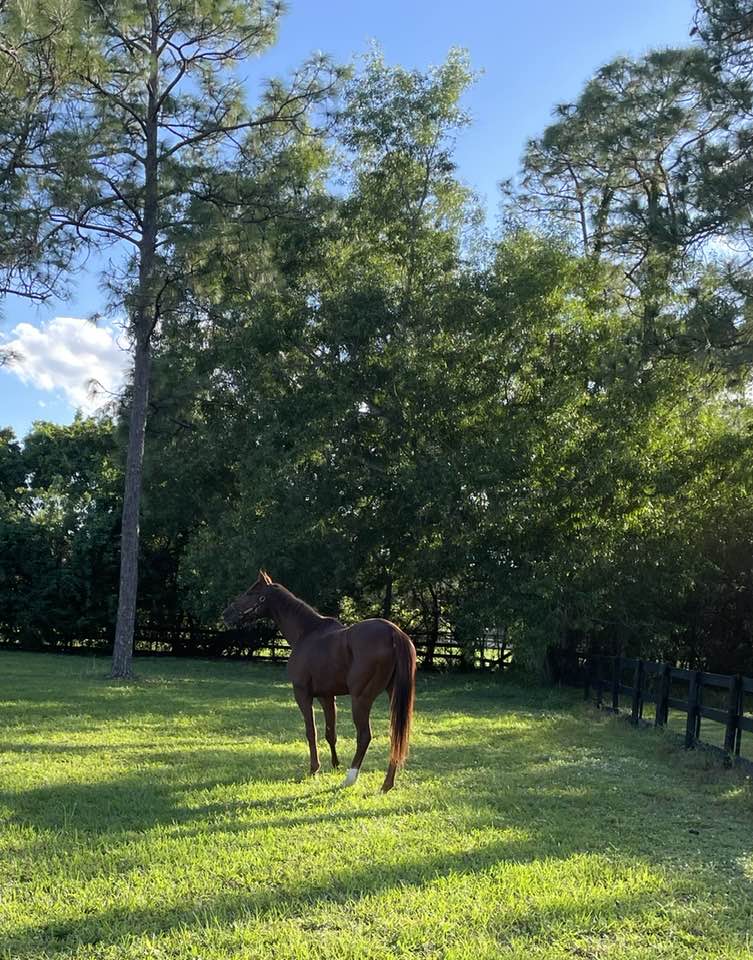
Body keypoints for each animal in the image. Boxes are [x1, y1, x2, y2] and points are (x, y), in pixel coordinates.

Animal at [222, 571, 416, 792]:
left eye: (251, 592)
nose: (226, 614)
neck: (306, 633)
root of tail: (394, 633)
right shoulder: (327, 696)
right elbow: (330, 733)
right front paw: (335, 765)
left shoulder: (302, 693)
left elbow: (311, 731)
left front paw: (314, 768)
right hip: (393, 695)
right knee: (396, 736)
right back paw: (386, 784)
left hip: (361, 699)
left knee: (364, 735)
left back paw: (350, 778)